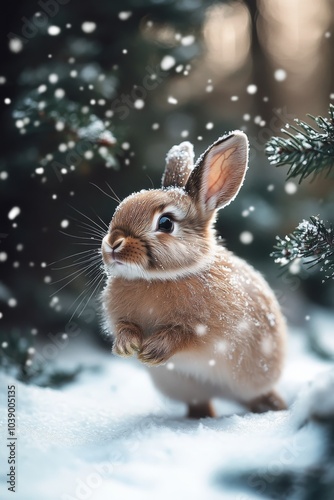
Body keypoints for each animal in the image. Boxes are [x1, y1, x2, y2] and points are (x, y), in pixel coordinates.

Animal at [100, 131, 286, 416]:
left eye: (165, 223)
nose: (112, 244)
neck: (159, 278)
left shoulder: (209, 333)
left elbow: (184, 336)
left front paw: (151, 351)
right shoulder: (121, 318)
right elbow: (125, 326)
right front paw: (127, 346)